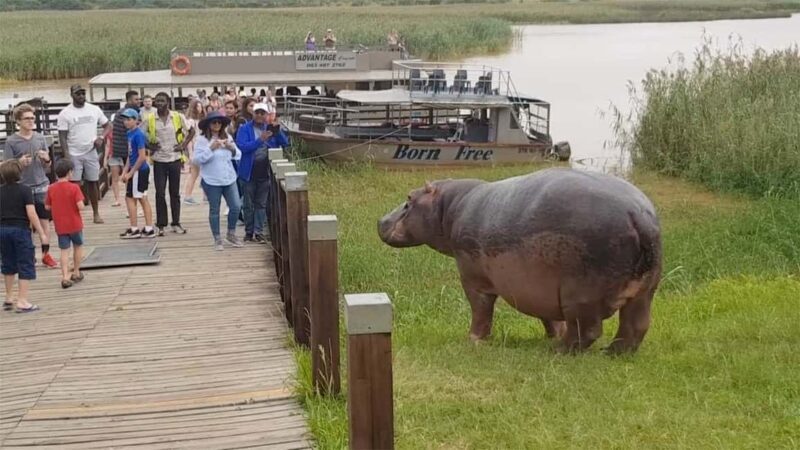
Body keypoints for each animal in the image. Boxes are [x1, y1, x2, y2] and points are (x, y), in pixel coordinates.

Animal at [378, 168, 662, 354]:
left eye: (409, 199)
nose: (380, 220)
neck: (449, 207)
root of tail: (638, 215)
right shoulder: (539, 289)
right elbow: (549, 317)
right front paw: (552, 335)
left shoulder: (473, 278)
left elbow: (480, 310)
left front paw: (474, 340)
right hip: (644, 292)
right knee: (635, 327)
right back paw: (612, 353)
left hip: (580, 295)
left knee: (588, 330)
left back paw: (559, 351)